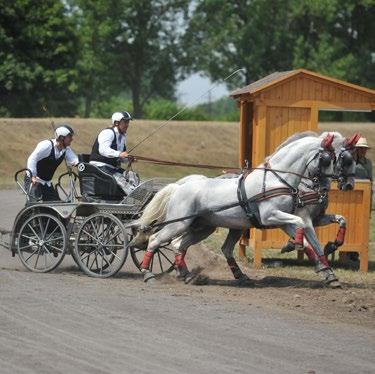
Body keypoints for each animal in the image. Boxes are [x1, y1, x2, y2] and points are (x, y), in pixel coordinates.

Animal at [134, 131, 352, 286]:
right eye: (327, 159)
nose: (324, 189)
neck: (276, 179)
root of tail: (178, 187)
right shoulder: (271, 216)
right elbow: (302, 229)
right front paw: (294, 245)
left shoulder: (284, 219)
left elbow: (312, 237)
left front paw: (326, 268)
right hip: (178, 224)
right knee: (156, 240)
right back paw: (148, 273)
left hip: (203, 227)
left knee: (180, 245)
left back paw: (188, 275)